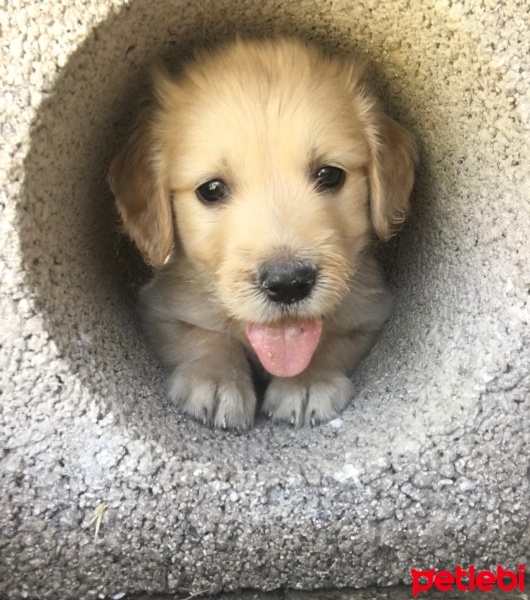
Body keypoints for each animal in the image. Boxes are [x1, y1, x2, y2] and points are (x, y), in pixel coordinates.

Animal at [108, 37, 416, 428]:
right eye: (211, 189)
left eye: (330, 175)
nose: (288, 284)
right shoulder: (162, 307)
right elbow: (203, 335)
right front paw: (216, 377)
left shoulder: (370, 310)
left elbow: (332, 339)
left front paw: (307, 380)